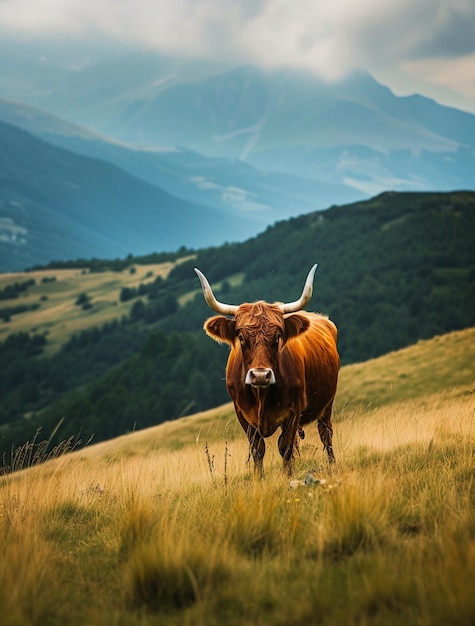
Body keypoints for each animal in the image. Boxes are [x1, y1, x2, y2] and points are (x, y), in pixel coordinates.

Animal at [195, 264, 340, 472]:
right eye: (241, 337)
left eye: (278, 336)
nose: (260, 375)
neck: (261, 396)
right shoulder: (242, 414)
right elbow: (257, 450)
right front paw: (259, 477)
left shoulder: (293, 411)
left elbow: (285, 447)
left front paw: (288, 475)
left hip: (327, 403)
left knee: (325, 433)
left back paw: (332, 464)